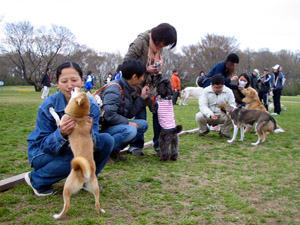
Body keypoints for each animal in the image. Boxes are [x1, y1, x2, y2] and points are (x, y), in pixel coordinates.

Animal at [49, 87, 105, 219]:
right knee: (97, 203)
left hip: (67, 187)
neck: (79, 117)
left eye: (77, 92)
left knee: (67, 205)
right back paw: (102, 211)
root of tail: (86, 174)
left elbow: (57, 117)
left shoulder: (62, 122)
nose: (75, 87)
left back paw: (58, 216)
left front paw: (52, 110)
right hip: (95, 188)